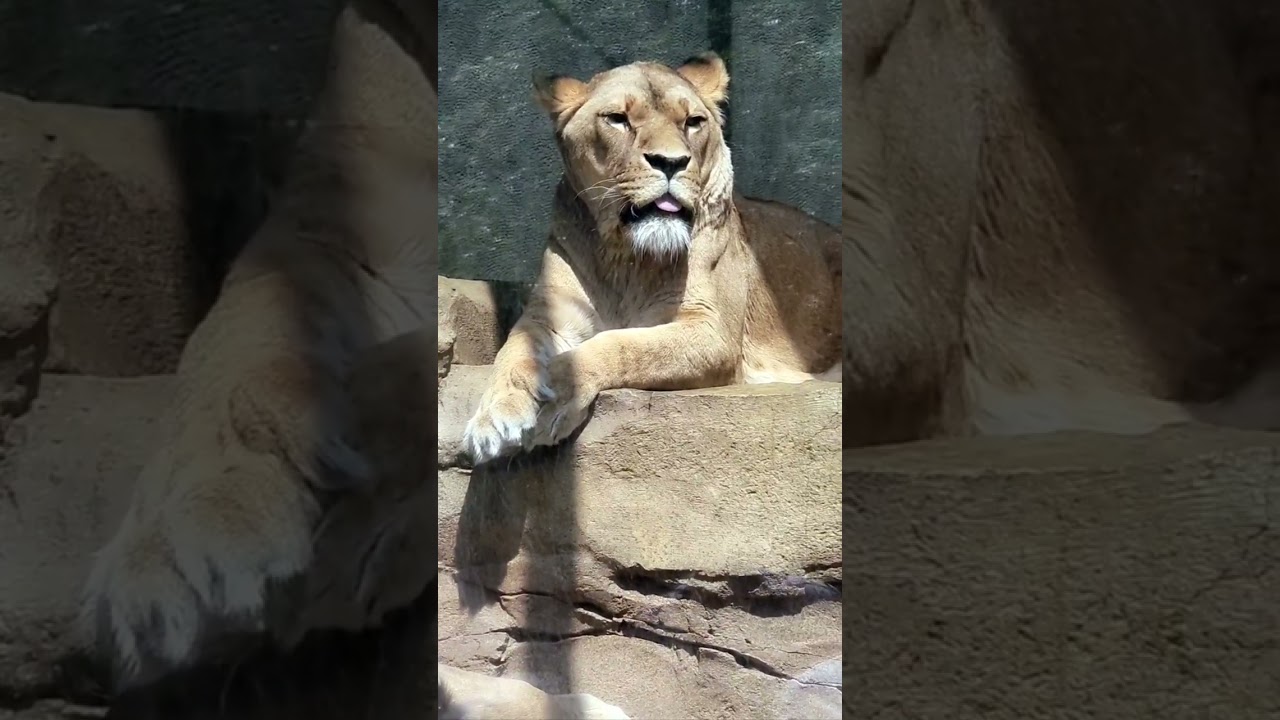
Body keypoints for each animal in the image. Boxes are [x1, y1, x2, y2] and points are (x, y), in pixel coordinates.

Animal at [461, 52, 841, 463]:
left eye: (693, 122)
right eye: (618, 119)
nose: (671, 162)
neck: (626, 259)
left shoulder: (711, 331)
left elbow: (624, 345)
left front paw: (561, 388)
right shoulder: (549, 315)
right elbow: (513, 349)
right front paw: (494, 419)